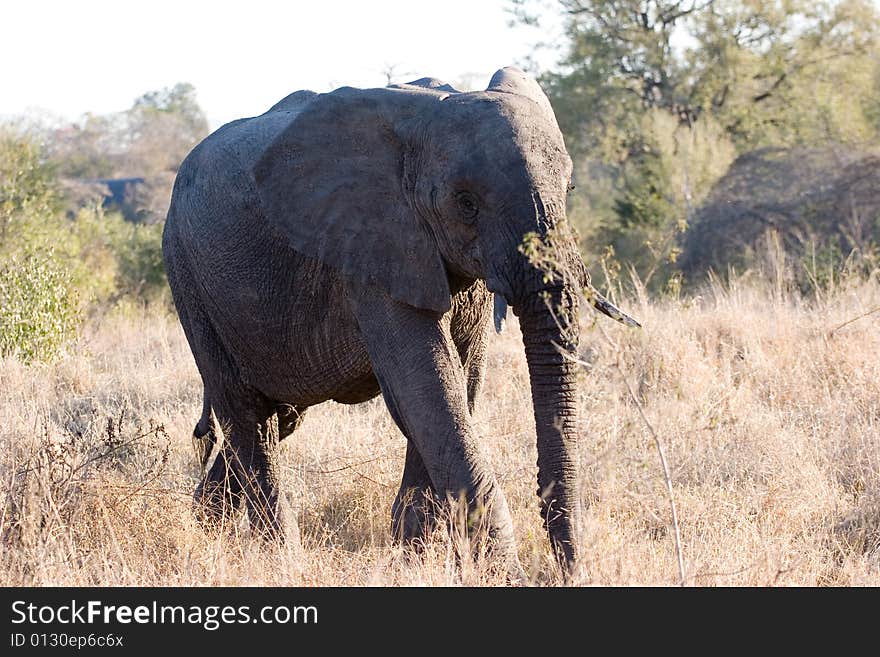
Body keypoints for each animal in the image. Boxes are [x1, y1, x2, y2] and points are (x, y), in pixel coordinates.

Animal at [162, 66, 636, 576]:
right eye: (465, 203)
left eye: (569, 191)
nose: (570, 570)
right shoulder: (371, 247)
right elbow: (429, 388)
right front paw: (500, 574)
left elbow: (457, 385)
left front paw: (413, 558)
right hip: (188, 277)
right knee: (247, 415)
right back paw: (280, 557)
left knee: (276, 417)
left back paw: (203, 526)